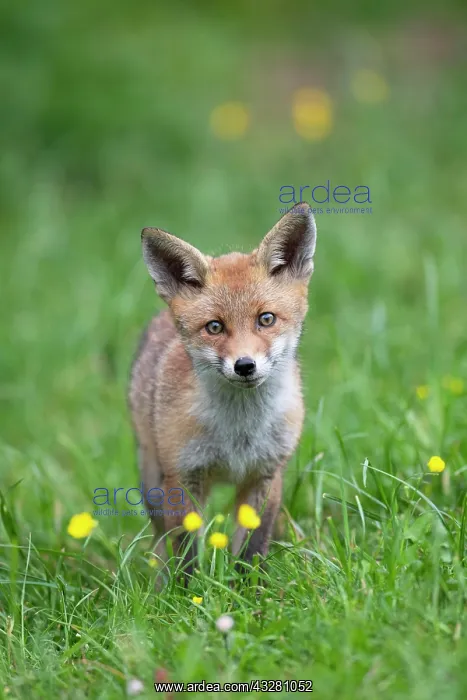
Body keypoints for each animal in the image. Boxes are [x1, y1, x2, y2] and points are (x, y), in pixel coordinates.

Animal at [128, 202, 317, 572]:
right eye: (215, 327)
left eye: (266, 319)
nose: (244, 365)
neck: (238, 434)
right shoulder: (183, 478)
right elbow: (186, 553)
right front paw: (186, 588)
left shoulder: (266, 474)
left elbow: (252, 547)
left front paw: (248, 584)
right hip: (152, 479)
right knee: (160, 540)